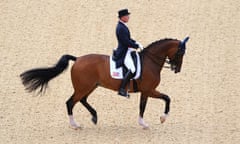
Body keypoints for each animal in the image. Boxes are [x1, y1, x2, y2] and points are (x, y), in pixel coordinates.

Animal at [20, 36, 189, 129]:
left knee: (82, 100)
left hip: (90, 87)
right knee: (70, 102)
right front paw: (159, 119)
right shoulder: (149, 90)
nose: (177, 69)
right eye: (181, 52)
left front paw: (146, 122)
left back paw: (94, 117)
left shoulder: (146, 92)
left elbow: (149, 104)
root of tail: (77, 59)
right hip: (83, 87)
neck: (150, 61)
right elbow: (163, 99)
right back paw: (75, 125)